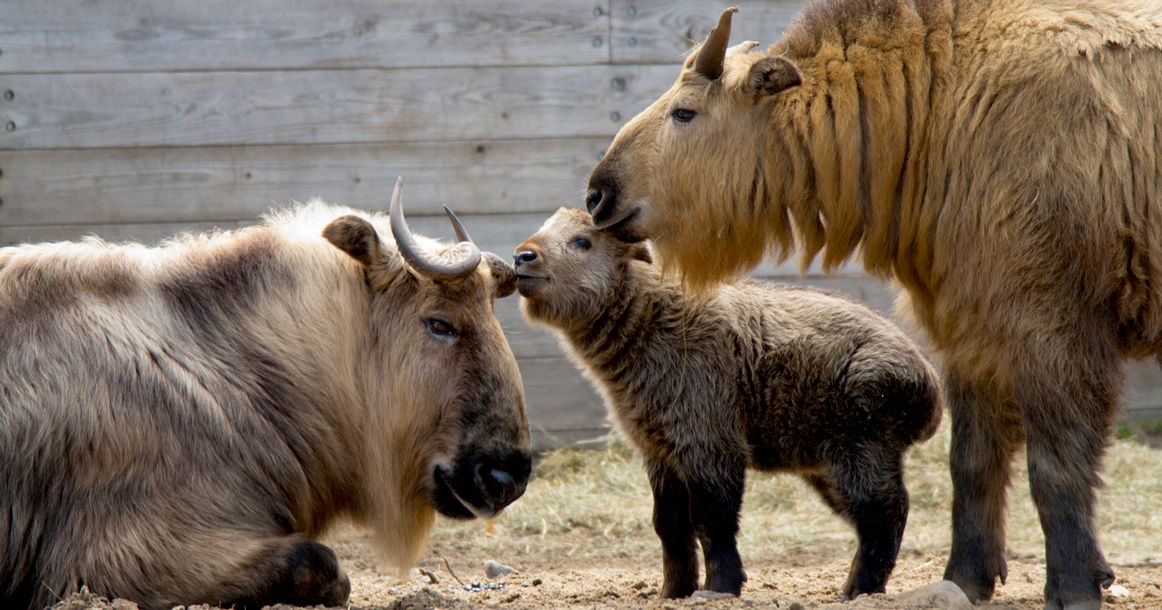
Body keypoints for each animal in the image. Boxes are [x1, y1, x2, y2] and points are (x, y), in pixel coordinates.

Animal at [518, 206, 943, 594]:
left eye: (582, 241)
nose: (523, 256)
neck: (650, 322)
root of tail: (929, 383)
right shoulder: (659, 451)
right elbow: (669, 525)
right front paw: (674, 591)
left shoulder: (710, 443)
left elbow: (713, 520)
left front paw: (720, 586)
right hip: (827, 465)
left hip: (859, 449)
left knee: (885, 513)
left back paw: (859, 589)